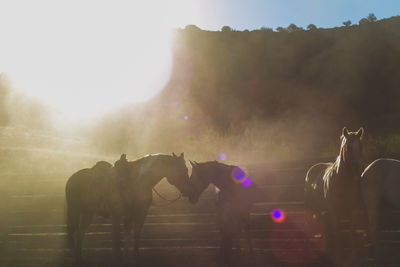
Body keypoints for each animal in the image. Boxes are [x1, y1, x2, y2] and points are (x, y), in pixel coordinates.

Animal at [64, 153, 192, 264]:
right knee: (75, 232)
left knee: (80, 232)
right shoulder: (118, 214)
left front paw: (133, 257)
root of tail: (71, 178)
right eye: (183, 170)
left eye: (186, 169)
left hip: (87, 212)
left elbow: (133, 234)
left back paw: (79, 258)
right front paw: (118, 258)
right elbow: (117, 238)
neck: (138, 181)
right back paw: (76, 257)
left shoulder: (139, 213)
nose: (188, 190)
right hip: (75, 210)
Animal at [304, 127, 364, 266]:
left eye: (361, 146)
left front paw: (352, 258)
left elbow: (352, 232)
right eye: (348, 146)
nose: (358, 170)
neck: (343, 181)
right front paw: (339, 258)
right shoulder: (334, 211)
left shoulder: (353, 210)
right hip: (314, 209)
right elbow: (337, 232)